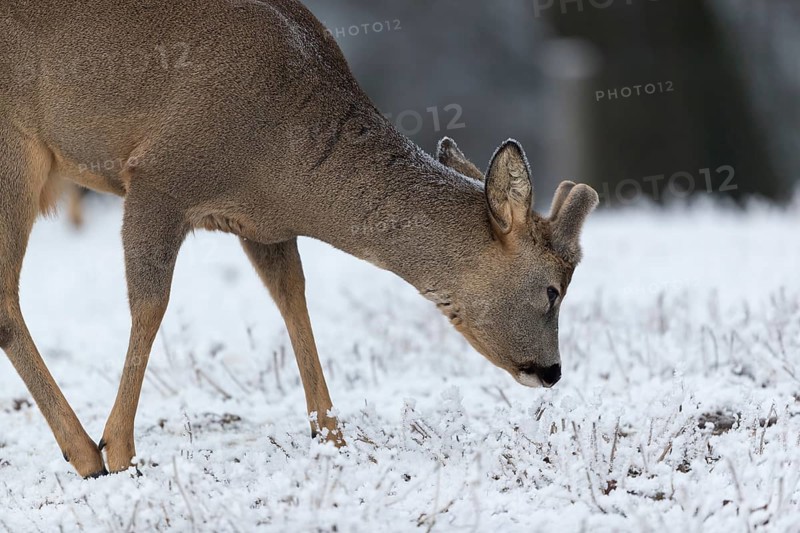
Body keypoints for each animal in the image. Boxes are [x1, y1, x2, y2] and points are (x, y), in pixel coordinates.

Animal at [0, 0, 598, 478]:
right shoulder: (158, 178)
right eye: (552, 291)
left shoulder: (263, 226)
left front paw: (332, 438)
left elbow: (293, 301)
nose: (552, 371)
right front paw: (120, 449)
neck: (284, 162)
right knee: (7, 303)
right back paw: (85, 453)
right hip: (16, 149)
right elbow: (150, 305)